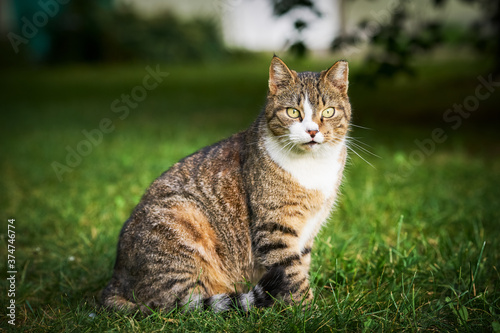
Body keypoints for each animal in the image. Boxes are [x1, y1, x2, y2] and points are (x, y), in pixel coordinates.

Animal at [101, 55, 352, 312]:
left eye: (328, 111)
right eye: (293, 112)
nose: (312, 131)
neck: (312, 165)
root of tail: (114, 281)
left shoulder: (308, 229)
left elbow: (301, 264)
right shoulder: (275, 226)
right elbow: (292, 273)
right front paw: (308, 310)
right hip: (182, 218)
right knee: (181, 304)